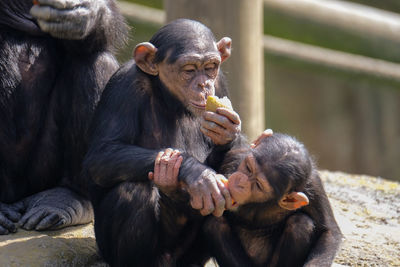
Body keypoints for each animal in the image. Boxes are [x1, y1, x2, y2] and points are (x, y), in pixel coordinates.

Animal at [82, 19, 241, 267]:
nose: (204, 85)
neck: (170, 98)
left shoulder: (221, 83)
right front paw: (197, 173)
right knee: (133, 191)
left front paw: (227, 131)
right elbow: (102, 154)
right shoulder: (124, 85)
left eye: (211, 67)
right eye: (189, 69)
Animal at [152, 133, 342, 266]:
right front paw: (169, 183)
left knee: (300, 224)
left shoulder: (314, 185)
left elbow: (328, 231)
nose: (240, 182)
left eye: (258, 184)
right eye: (249, 168)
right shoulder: (231, 158)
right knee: (215, 224)